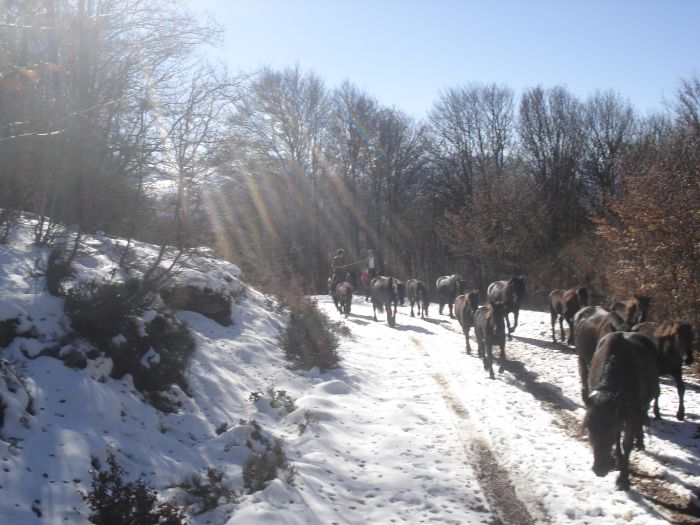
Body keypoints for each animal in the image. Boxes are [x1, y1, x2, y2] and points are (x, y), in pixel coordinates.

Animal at [584, 332, 660, 492]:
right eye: (588, 427)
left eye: (610, 427)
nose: (599, 469)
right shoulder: (617, 413)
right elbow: (618, 438)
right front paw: (618, 460)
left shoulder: (631, 413)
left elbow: (627, 442)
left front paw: (623, 479)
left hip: (644, 404)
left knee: (641, 419)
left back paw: (640, 442)